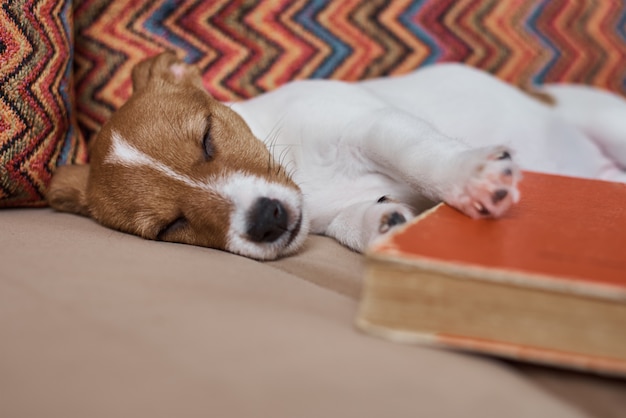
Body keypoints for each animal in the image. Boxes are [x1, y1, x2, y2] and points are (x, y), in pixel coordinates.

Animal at [47, 52, 624, 260]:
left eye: (207, 138)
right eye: (171, 226)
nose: (267, 219)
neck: (304, 174)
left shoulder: (373, 125)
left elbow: (420, 156)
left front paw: (470, 178)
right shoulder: (326, 212)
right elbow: (352, 221)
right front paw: (383, 224)